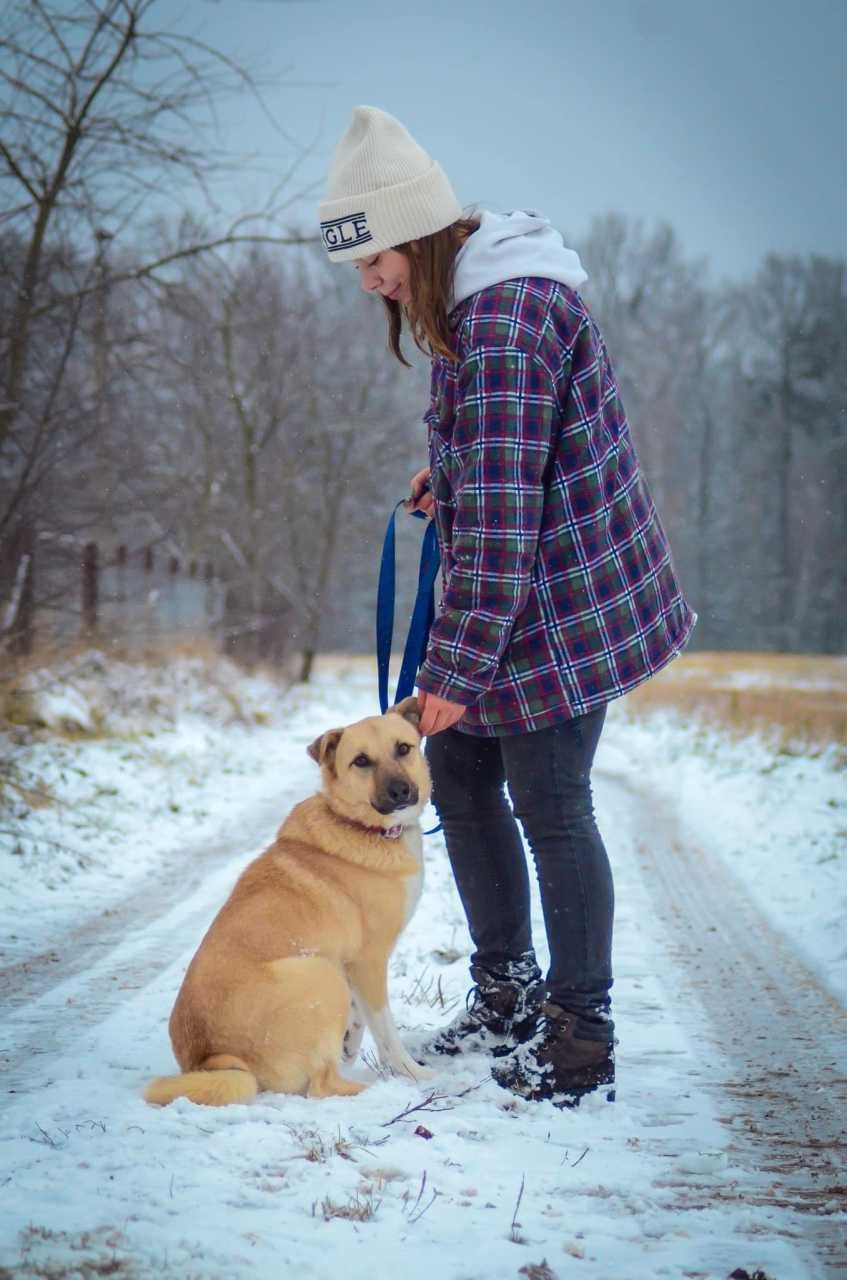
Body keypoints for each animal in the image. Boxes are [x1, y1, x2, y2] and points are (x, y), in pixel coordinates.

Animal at [143, 696, 435, 1105]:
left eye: (403, 748)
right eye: (361, 761)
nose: (400, 790)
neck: (359, 826)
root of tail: (214, 1060)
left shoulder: (350, 963)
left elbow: (359, 1015)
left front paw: (349, 1043)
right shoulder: (368, 961)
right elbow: (387, 1033)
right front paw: (416, 1075)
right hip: (319, 973)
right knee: (322, 1087)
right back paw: (378, 1094)